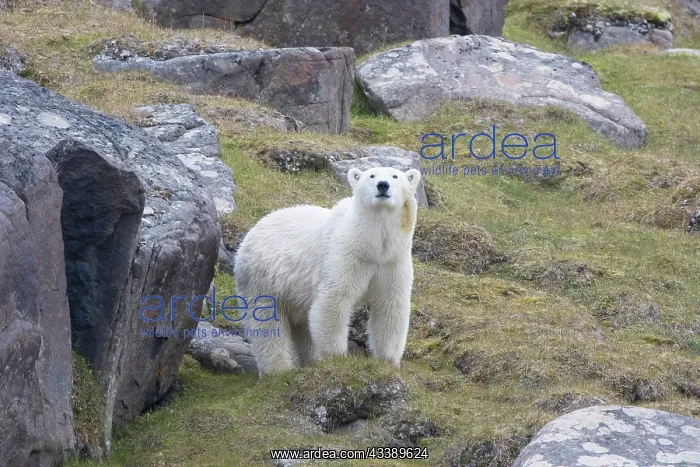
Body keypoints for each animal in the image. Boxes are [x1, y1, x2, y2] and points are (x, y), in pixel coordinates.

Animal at [233, 166, 422, 376]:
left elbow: (390, 305)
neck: (371, 245)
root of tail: (249, 235)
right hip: (262, 279)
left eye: (395, 176)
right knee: (267, 322)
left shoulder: (392, 261)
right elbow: (334, 300)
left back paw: (312, 360)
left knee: (303, 324)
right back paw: (278, 370)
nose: (383, 185)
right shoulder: (346, 255)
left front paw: (388, 361)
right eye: (371, 175)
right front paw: (337, 357)